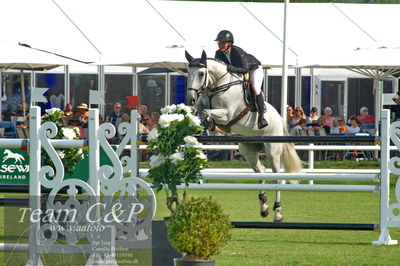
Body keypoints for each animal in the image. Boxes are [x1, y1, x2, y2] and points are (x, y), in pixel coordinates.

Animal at [186, 51, 302, 221]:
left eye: (201, 73)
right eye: (188, 72)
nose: (190, 99)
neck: (216, 87)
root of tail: (279, 118)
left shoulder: (227, 114)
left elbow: (206, 112)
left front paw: (209, 123)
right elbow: (201, 110)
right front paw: (206, 123)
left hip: (272, 149)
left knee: (277, 178)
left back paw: (278, 213)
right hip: (248, 150)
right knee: (260, 171)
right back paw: (264, 207)